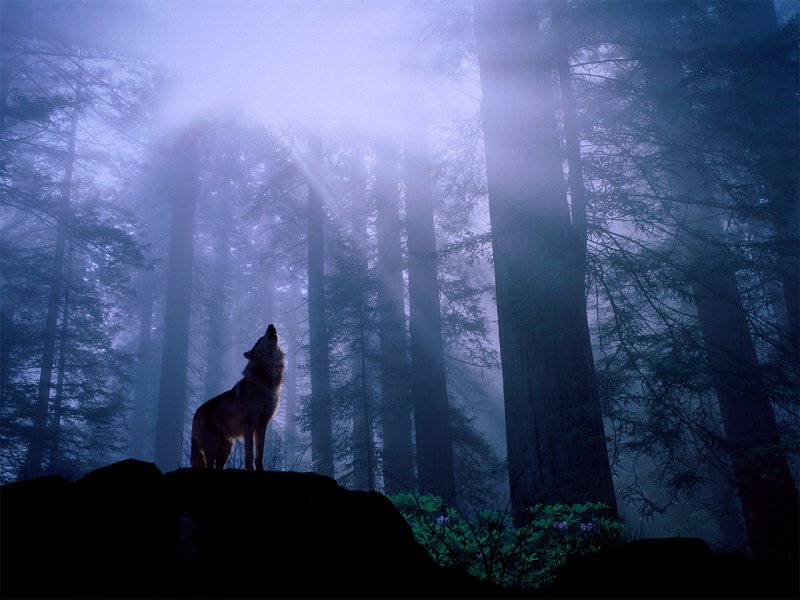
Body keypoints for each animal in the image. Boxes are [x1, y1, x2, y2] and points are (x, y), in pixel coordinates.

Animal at [190, 324, 285, 470]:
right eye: (260, 339)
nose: (271, 324)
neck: (266, 382)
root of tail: (196, 412)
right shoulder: (249, 425)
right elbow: (249, 453)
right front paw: (250, 469)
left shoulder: (262, 425)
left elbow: (260, 454)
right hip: (211, 448)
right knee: (209, 464)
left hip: (226, 449)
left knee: (218, 466)